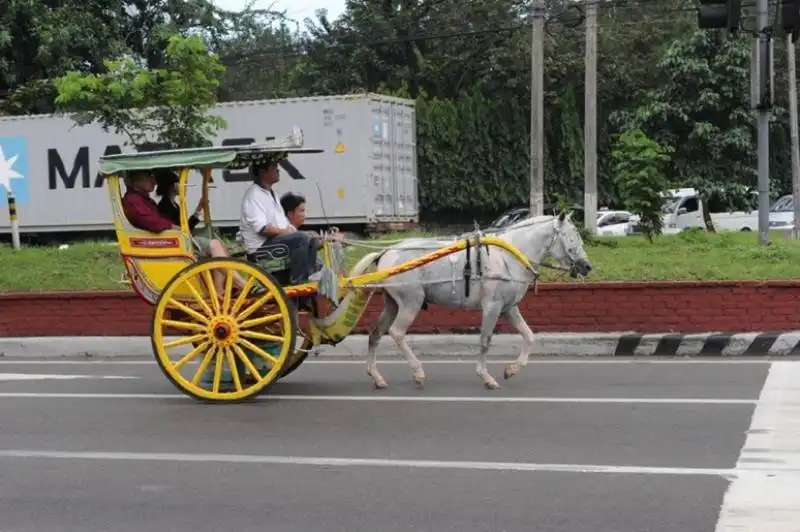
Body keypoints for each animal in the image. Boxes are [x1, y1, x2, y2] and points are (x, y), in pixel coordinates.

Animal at [352, 212, 592, 390]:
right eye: (572, 237)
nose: (587, 266)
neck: (507, 257)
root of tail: (386, 252)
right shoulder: (492, 307)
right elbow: (485, 340)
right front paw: (486, 376)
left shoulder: (509, 308)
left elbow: (529, 336)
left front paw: (511, 369)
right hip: (411, 301)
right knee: (397, 333)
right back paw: (418, 372)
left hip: (392, 303)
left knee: (376, 333)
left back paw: (377, 377)